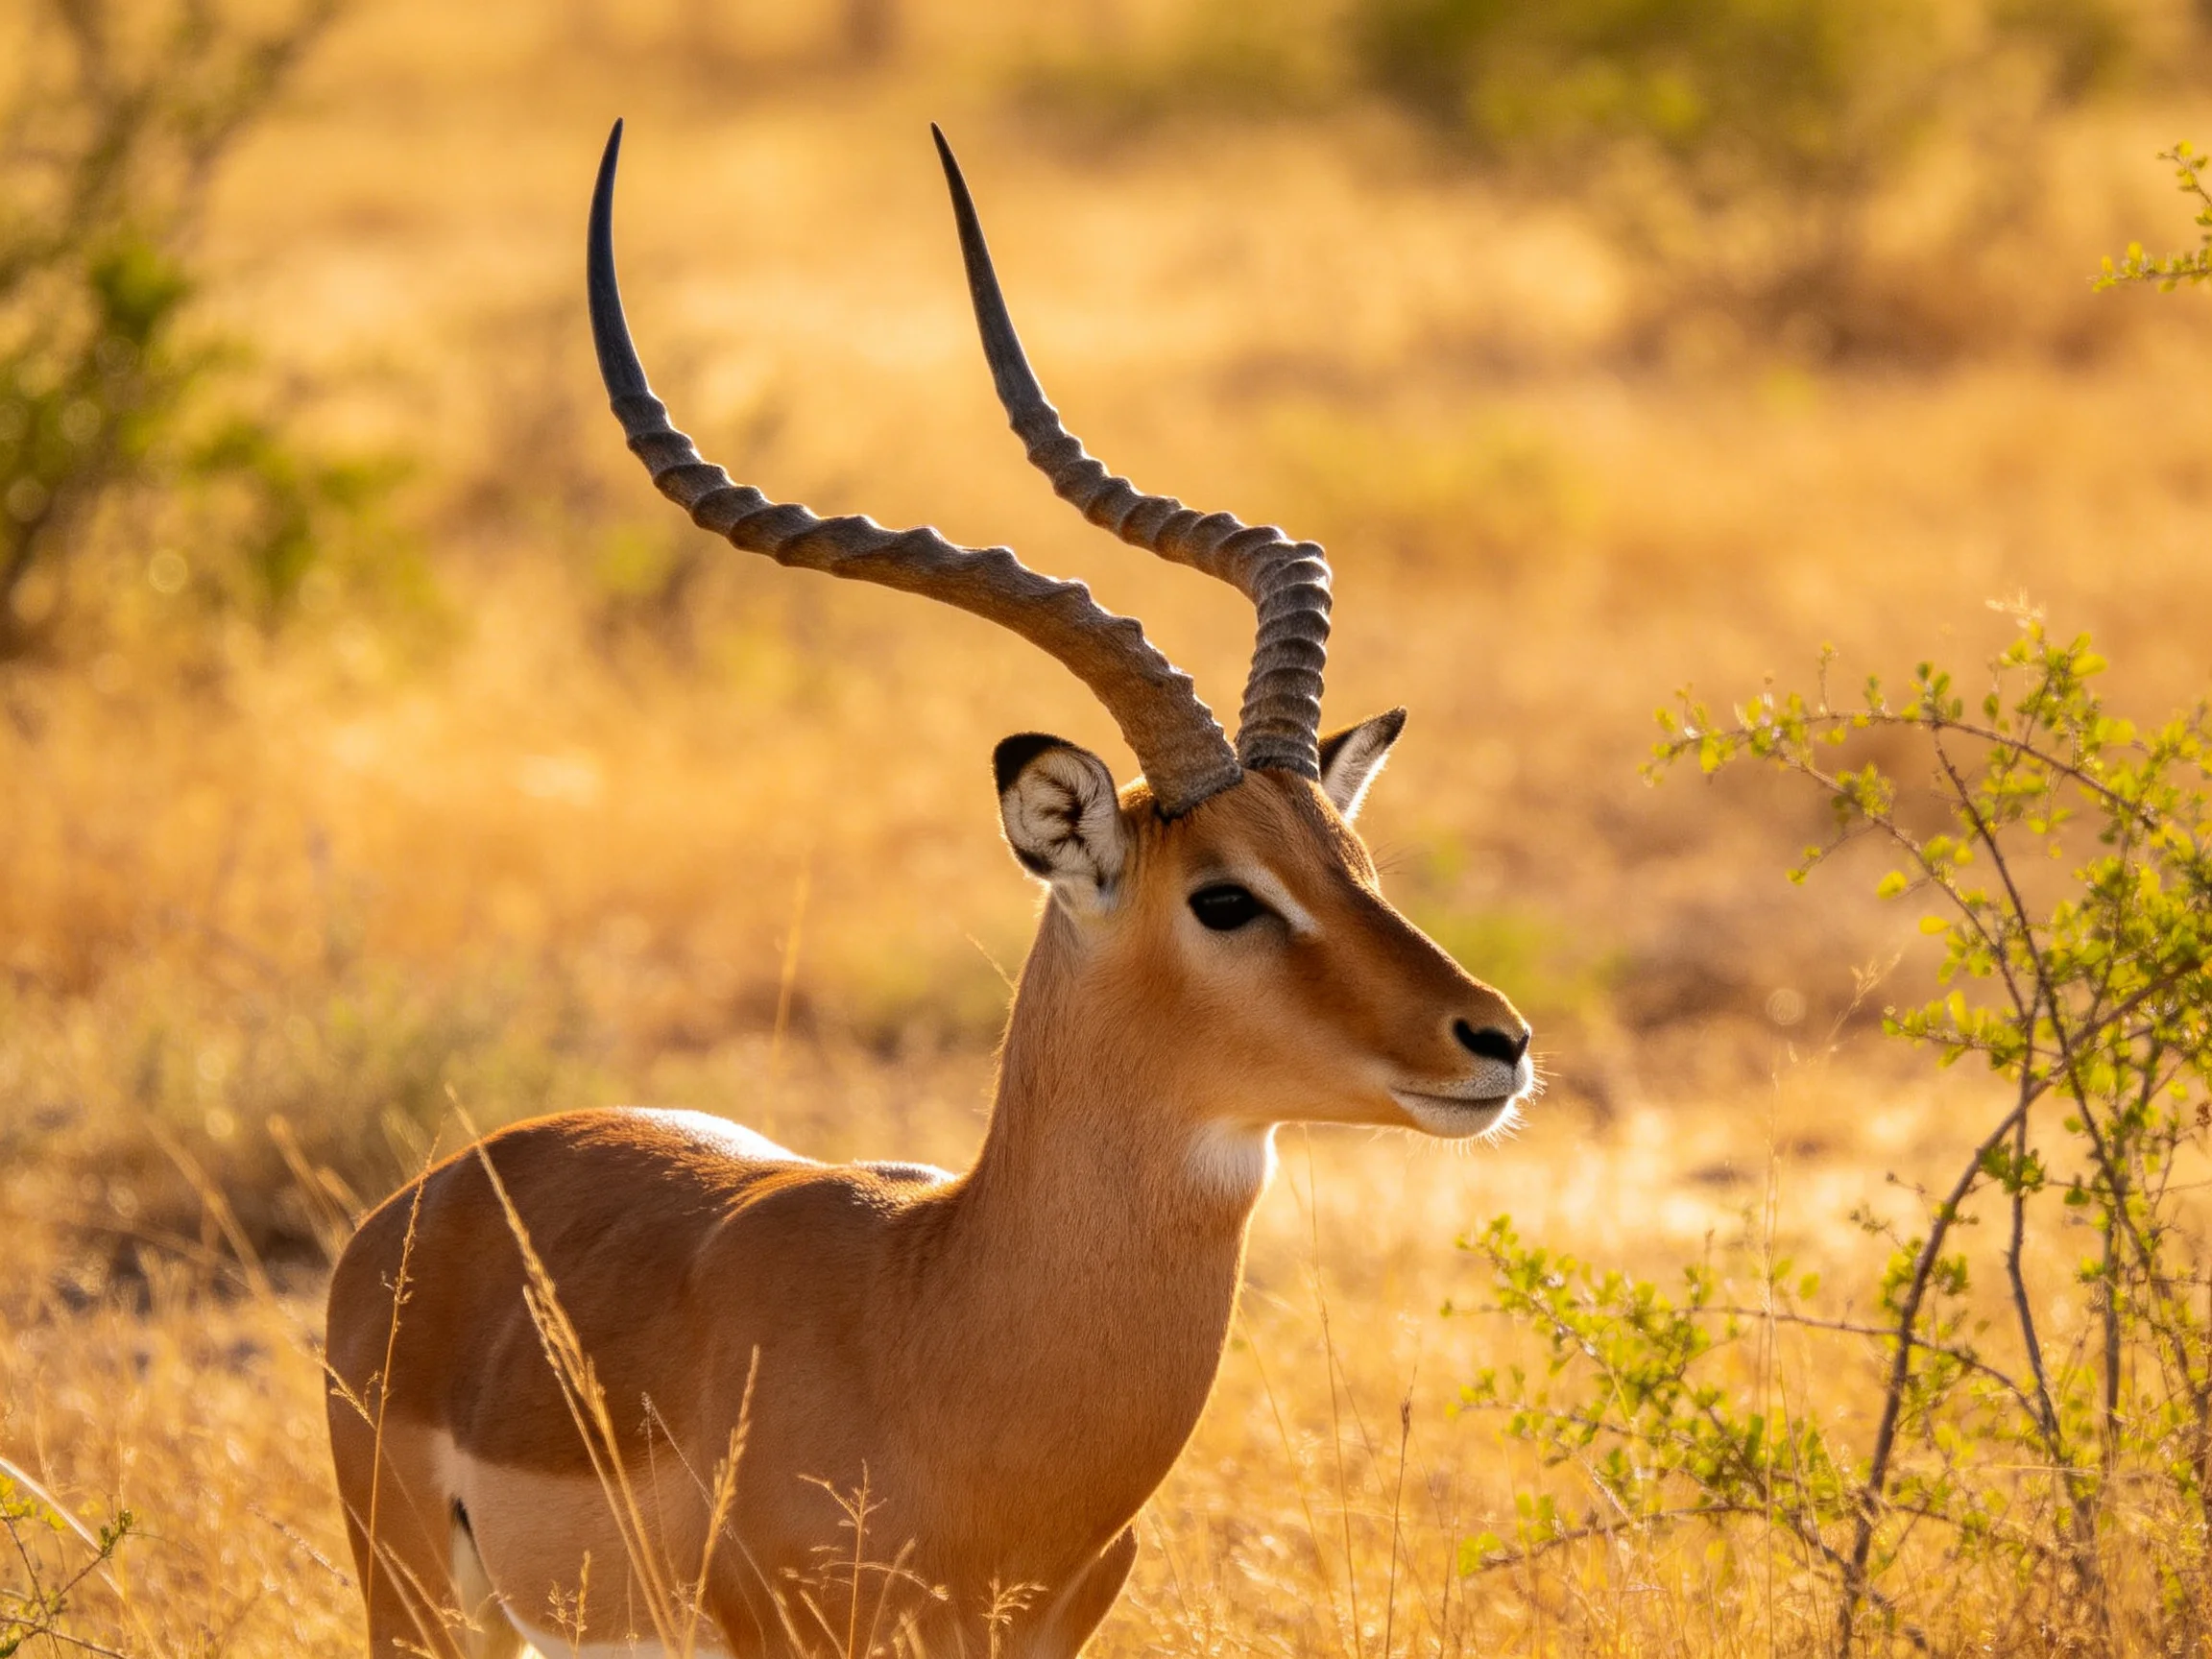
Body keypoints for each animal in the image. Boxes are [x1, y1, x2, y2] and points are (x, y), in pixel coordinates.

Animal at [324, 121, 1535, 1659]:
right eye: (1224, 897)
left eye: (1353, 860)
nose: (1496, 1041)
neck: (937, 1329)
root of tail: (416, 1205)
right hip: (419, 1597)